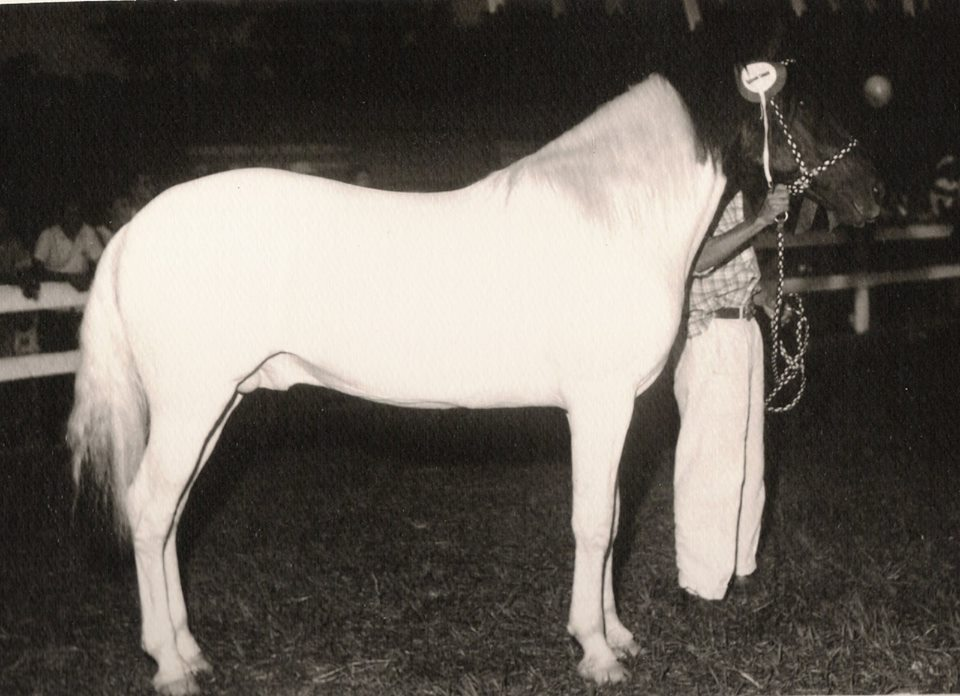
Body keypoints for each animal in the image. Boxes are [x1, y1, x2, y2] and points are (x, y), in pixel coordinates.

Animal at [65, 66, 876, 696]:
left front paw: (617, 634)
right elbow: (592, 523)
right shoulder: (599, 407)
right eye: (802, 107)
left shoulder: (613, 414)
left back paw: (190, 650)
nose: (875, 200)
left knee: (169, 515)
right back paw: (170, 665)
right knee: (150, 510)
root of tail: (134, 230)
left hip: (218, 404)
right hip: (192, 404)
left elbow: (613, 519)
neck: (615, 218)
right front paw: (596, 653)